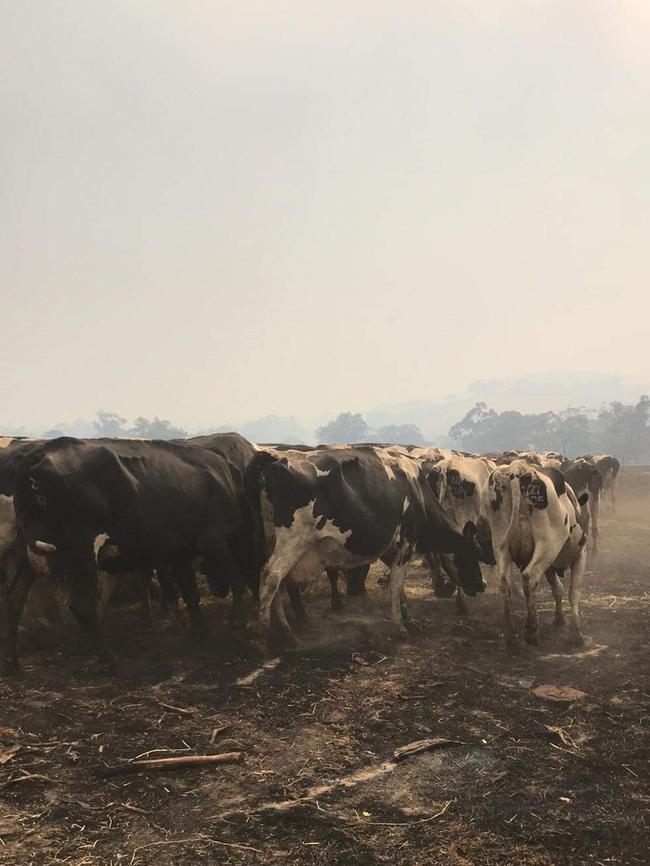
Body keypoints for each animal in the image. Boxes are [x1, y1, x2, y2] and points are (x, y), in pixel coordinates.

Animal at [12, 436, 256, 664]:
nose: (218, 590)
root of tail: (40, 455)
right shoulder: (214, 541)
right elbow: (237, 580)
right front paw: (240, 630)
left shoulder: (179, 552)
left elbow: (190, 593)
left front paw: (200, 634)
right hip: (83, 554)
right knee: (82, 605)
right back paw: (109, 656)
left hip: (38, 553)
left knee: (18, 598)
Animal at [246, 442, 484, 644]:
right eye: (473, 553)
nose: (482, 585)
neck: (418, 492)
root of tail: (276, 459)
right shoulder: (408, 540)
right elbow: (396, 584)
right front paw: (399, 626)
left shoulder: (391, 547)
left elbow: (398, 585)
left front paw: (406, 616)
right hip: (294, 540)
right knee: (272, 575)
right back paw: (265, 629)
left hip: (273, 541)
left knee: (277, 581)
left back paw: (285, 631)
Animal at [478, 460, 588, 648]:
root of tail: (518, 469)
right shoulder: (580, 556)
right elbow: (573, 593)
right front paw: (576, 634)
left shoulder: (550, 567)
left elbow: (558, 589)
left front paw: (559, 619)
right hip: (548, 544)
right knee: (530, 577)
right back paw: (531, 631)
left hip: (501, 544)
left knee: (505, 583)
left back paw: (511, 636)